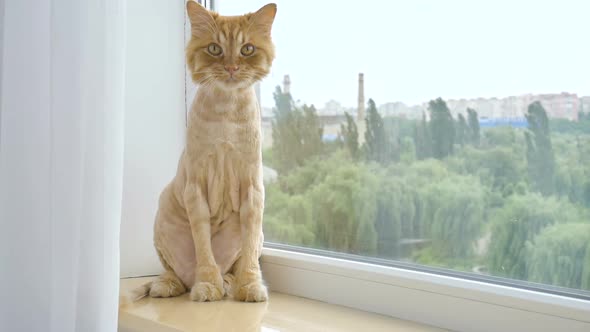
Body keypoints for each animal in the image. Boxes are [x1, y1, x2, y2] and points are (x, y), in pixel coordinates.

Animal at [136, 1, 278, 302]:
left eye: (247, 49)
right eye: (214, 48)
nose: (232, 67)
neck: (226, 109)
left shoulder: (253, 191)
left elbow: (249, 255)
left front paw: (249, 287)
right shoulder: (196, 189)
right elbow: (203, 248)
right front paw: (207, 285)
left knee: (233, 267)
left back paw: (228, 283)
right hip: (161, 221)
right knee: (174, 274)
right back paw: (169, 286)